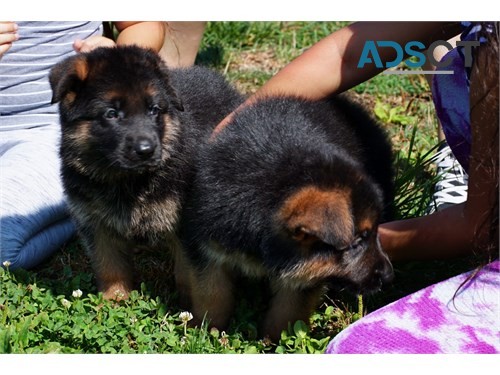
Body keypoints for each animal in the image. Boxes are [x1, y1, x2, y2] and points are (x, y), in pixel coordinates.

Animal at [50, 45, 244, 302]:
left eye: (154, 110)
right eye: (111, 113)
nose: (146, 150)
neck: (127, 181)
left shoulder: (185, 230)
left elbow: (189, 274)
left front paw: (187, 306)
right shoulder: (96, 225)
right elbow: (110, 267)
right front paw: (114, 301)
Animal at [180, 94, 394, 340]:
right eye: (357, 242)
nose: (389, 276)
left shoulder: (304, 276)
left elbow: (287, 313)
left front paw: (274, 341)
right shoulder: (206, 248)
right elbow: (213, 294)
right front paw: (206, 331)